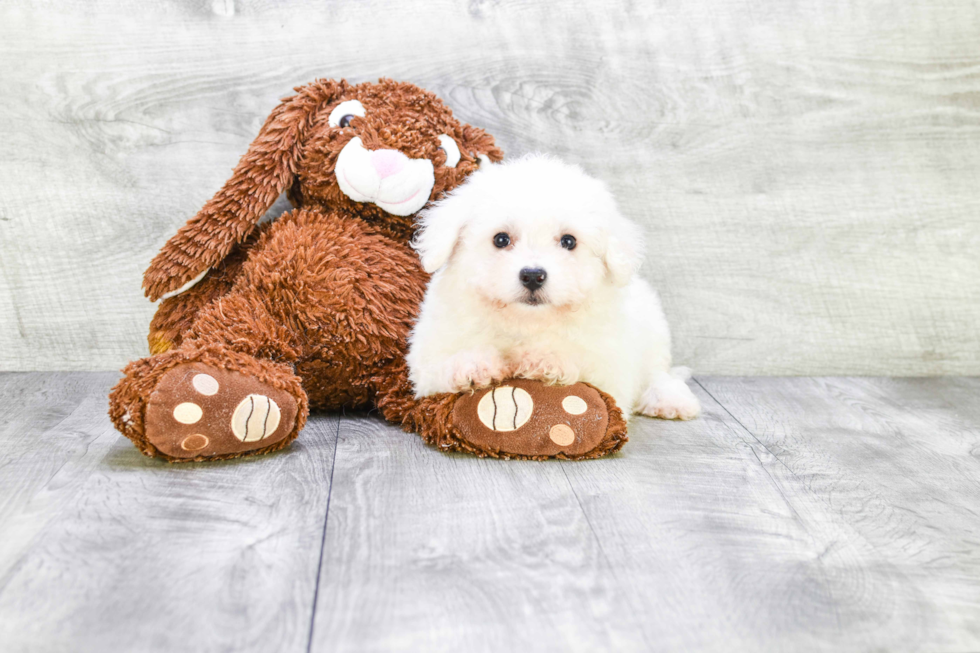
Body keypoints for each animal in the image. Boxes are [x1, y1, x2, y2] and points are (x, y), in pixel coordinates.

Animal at [406, 153, 696, 420]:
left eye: (569, 241)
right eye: (501, 239)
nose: (533, 275)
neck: (526, 322)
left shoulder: (611, 370)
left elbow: (588, 369)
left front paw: (546, 359)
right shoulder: (427, 358)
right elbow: (436, 367)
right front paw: (472, 365)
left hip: (654, 334)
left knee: (657, 372)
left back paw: (669, 400)